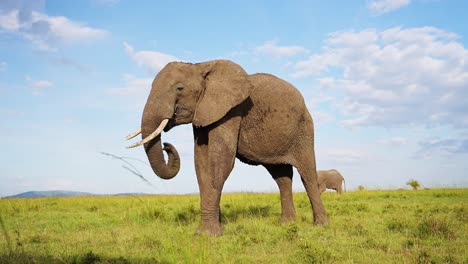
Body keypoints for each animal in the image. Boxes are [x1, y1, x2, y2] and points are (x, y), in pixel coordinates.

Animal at [126, 59, 328, 235]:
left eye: (179, 88)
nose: (166, 146)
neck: (201, 66)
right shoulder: (204, 113)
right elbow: (201, 163)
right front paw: (207, 231)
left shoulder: (231, 111)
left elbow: (221, 160)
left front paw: (208, 234)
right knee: (281, 177)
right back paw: (286, 224)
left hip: (304, 129)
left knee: (307, 174)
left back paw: (320, 226)